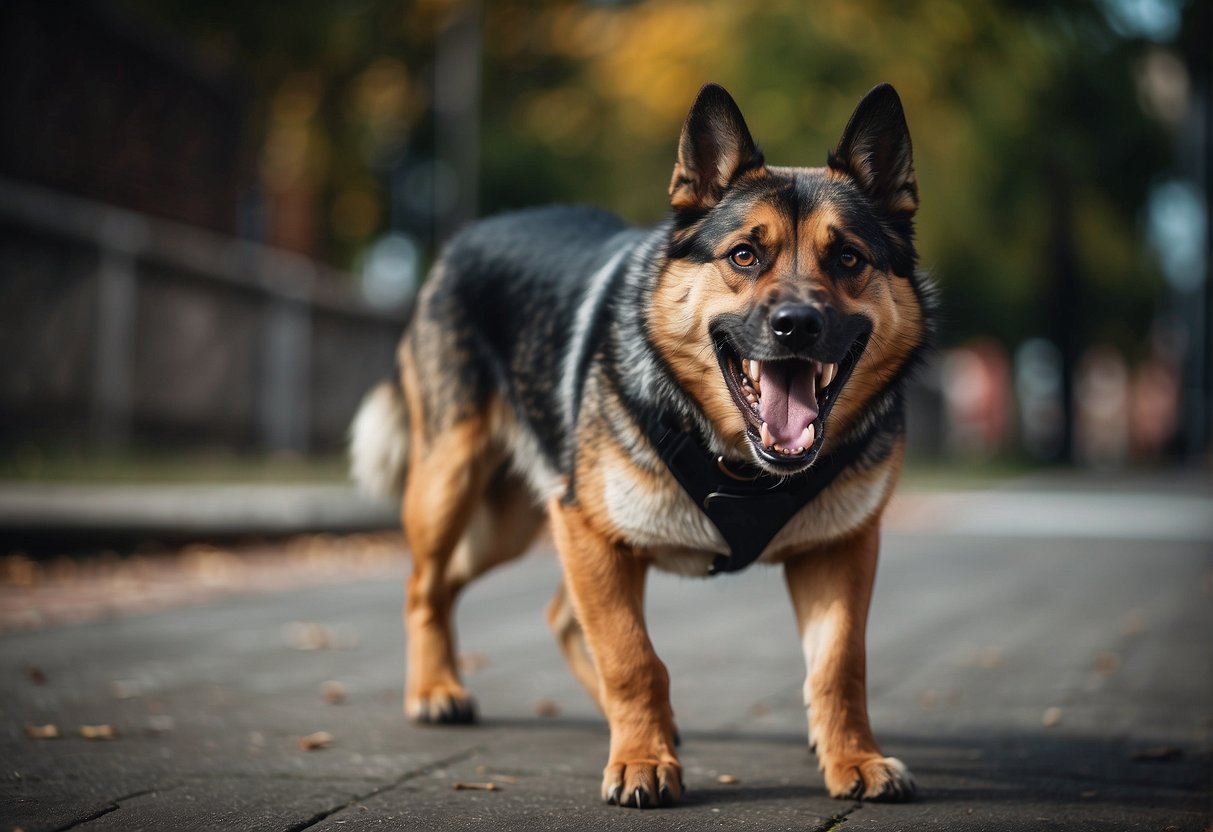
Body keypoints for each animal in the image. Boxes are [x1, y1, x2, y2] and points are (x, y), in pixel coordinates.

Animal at [349, 83, 926, 810]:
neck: (737, 462)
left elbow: (839, 666)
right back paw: (435, 690)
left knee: (537, 608)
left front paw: (853, 757)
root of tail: (466, 238)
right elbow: (631, 656)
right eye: (744, 255)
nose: (797, 325)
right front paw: (641, 760)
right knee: (426, 584)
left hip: (516, 521)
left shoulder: (839, 549)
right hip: (453, 485)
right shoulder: (588, 531)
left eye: (848, 258)